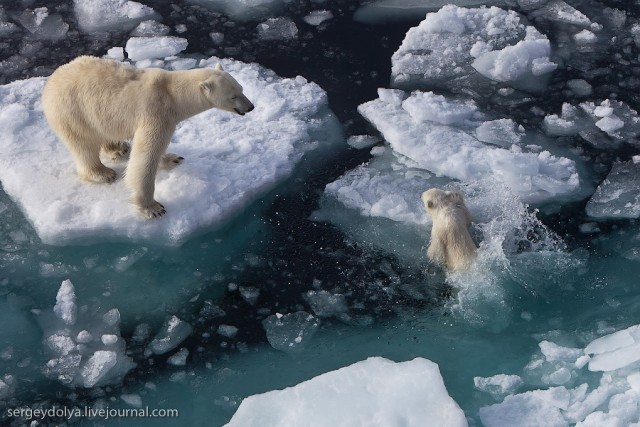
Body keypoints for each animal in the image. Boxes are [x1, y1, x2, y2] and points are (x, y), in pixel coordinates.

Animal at [38, 55, 255, 219]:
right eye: (233, 96)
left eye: (241, 89)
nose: (251, 107)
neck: (173, 94)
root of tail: (49, 83)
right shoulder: (155, 112)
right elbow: (145, 156)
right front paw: (153, 208)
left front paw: (173, 158)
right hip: (72, 111)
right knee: (83, 145)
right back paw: (103, 173)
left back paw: (118, 148)